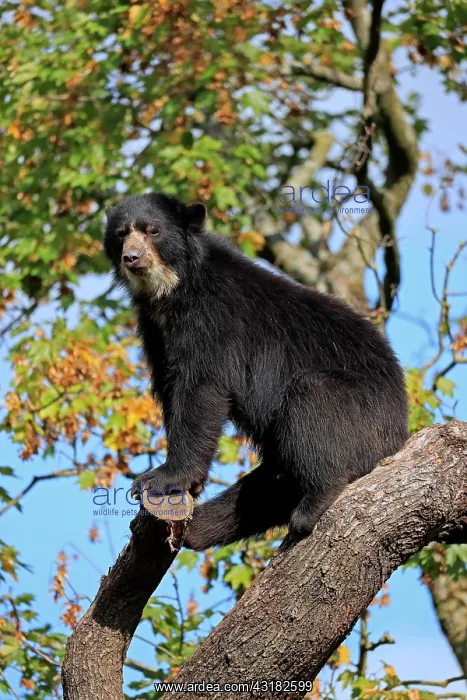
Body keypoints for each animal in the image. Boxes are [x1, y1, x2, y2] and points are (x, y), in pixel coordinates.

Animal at [103, 192, 408, 550]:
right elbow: (169, 387)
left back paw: (312, 505)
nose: (131, 257)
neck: (172, 291)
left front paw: (160, 478)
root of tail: (401, 427)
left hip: (362, 411)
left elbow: (202, 389)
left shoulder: (214, 320)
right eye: (121, 234)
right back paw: (200, 528)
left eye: (153, 231)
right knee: (265, 488)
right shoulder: (155, 332)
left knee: (314, 403)